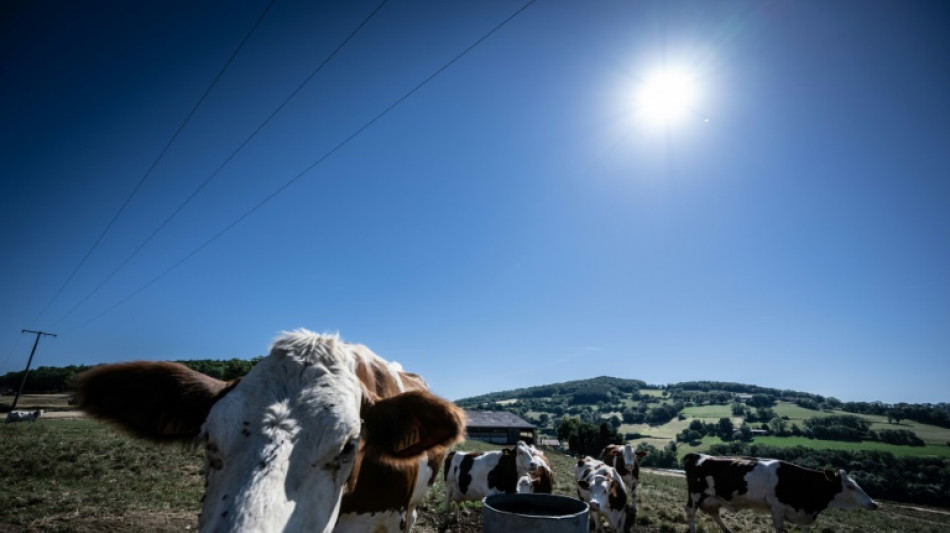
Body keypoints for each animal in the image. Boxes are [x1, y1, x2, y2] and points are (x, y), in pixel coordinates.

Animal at [684, 450, 876, 528]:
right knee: (690, 512)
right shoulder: (777, 508)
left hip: (713, 499)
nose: (874, 503)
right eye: (850, 486)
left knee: (715, 514)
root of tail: (698, 455)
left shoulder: (803, 515)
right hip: (695, 495)